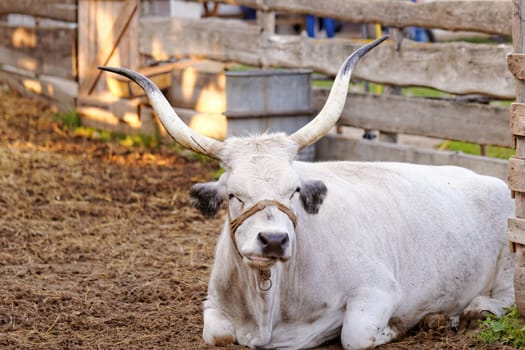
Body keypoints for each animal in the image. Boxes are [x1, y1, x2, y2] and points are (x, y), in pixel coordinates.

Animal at [100, 36, 512, 350]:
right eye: (233, 195)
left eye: (294, 190)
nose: (273, 240)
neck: (268, 305)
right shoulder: (213, 307)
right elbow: (217, 334)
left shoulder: (378, 290)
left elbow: (356, 335)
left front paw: (400, 325)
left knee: (505, 299)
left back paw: (467, 312)